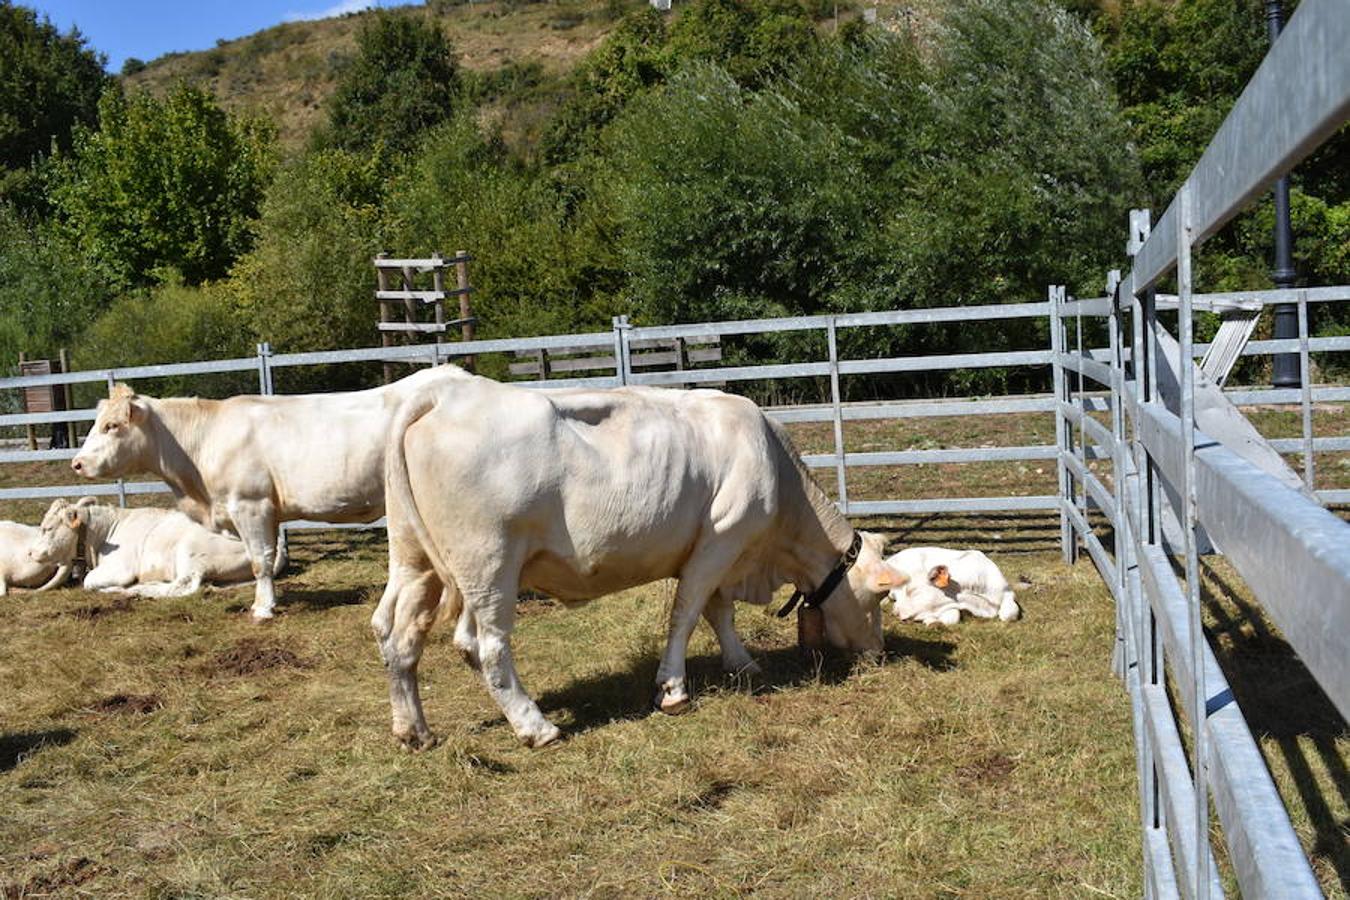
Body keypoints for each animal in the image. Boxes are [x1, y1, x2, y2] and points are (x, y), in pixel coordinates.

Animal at [29, 493, 253, 599]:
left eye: (47, 528)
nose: (30, 552)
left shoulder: (121, 569)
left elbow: (88, 581)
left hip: (189, 553)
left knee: (183, 587)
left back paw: (139, 589)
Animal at [372, 375, 907, 755]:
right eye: (878, 598)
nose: (878, 654)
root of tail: (440, 397)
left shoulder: (722, 551)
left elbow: (719, 613)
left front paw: (742, 662)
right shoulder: (721, 538)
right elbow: (687, 614)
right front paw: (672, 689)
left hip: (415, 562)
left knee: (399, 637)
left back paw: (413, 731)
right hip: (490, 565)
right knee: (488, 648)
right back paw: (535, 726)